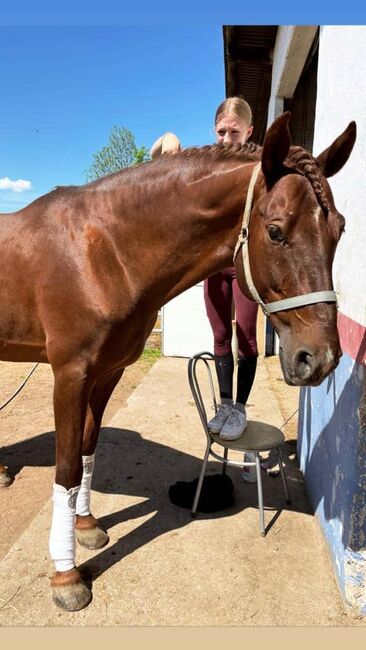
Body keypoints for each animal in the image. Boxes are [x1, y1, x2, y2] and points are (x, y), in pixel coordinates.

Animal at [0, 112, 356, 608]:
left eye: (338, 230)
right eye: (275, 231)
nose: (319, 358)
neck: (101, 252)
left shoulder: (107, 372)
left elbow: (89, 450)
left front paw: (88, 527)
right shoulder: (70, 374)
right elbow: (68, 468)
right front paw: (66, 576)